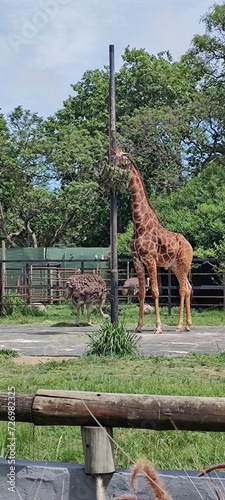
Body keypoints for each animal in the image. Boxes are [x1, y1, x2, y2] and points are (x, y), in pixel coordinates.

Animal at [115, 148, 192, 336]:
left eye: (120, 159)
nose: (110, 165)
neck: (140, 224)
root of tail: (190, 245)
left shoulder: (150, 259)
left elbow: (156, 292)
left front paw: (158, 327)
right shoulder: (137, 260)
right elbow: (142, 292)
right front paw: (138, 327)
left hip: (183, 263)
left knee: (183, 289)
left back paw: (179, 325)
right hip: (175, 266)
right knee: (187, 288)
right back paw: (187, 325)